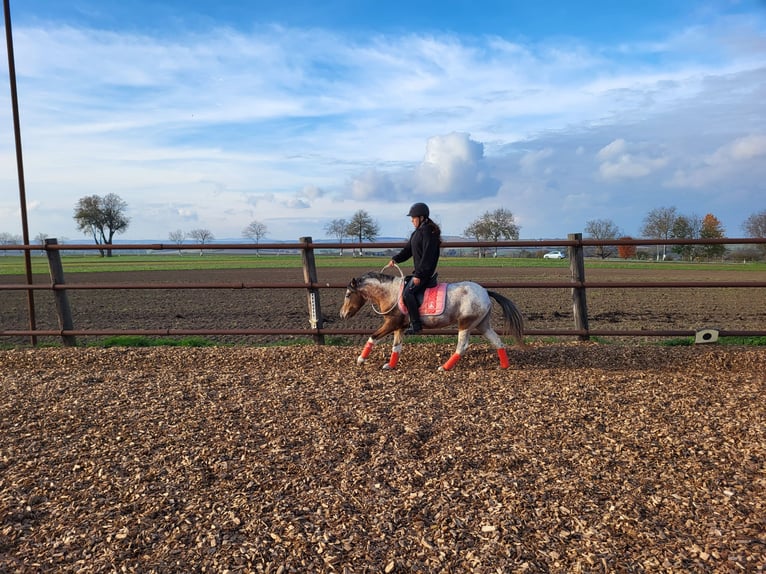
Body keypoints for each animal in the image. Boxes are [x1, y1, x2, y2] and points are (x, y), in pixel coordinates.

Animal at [340, 272, 524, 374]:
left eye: (348, 294)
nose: (342, 314)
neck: (390, 293)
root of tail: (485, 291)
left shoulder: (391, 323)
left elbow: (373, 337)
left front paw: (360, 360)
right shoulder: (399, 327)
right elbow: (396, 347)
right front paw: (390, 365)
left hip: (465, 324)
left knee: (462, 346)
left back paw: (444, 367)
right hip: (482, 324)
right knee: (497, 341)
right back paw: (504, 366)